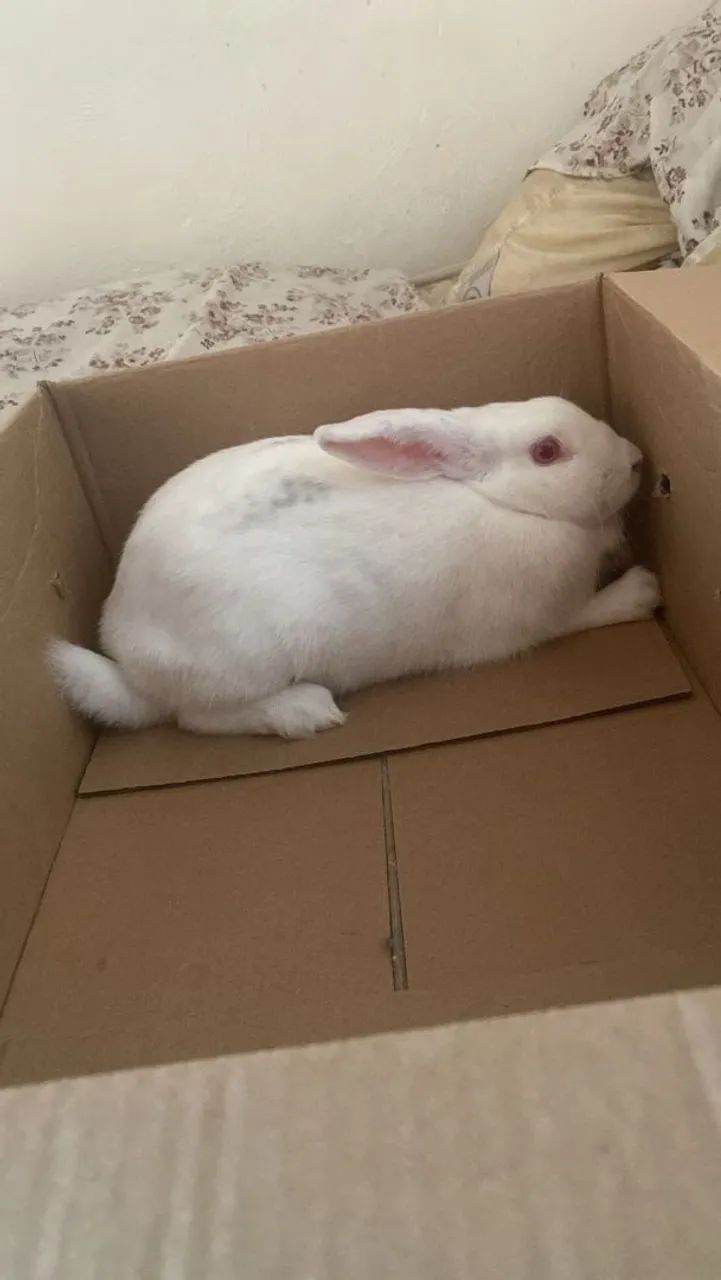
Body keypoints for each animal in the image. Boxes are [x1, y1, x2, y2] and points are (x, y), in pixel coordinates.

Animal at [49, 396, 660, 738]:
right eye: (547, 452)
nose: (636, 458)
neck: (506, 503)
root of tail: (126, 654)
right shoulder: (544, 618)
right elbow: (593, 612)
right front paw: (645, 588)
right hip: (243, 665)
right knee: (194, 718)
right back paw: (307, 712)